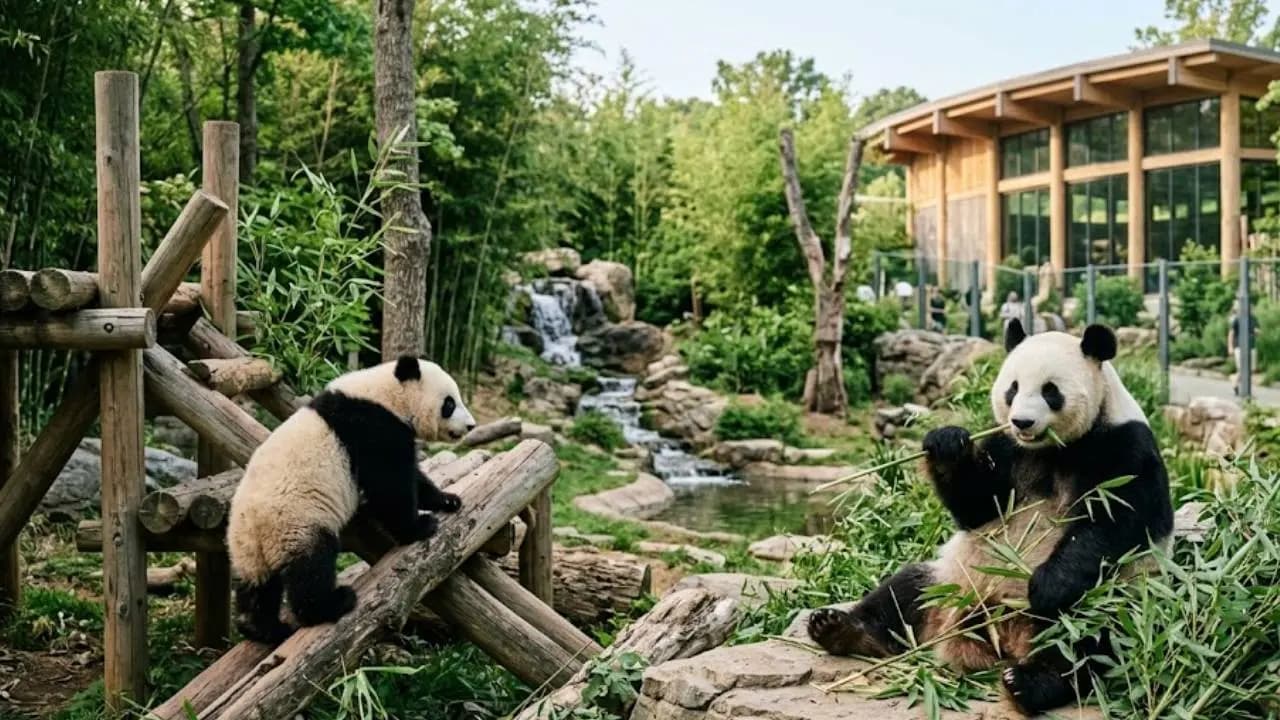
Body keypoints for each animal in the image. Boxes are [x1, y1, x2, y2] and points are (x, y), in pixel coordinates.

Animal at [227, 356, 477, 643]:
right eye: (450, 403)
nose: (471, 426)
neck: (387, 394)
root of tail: (252, 526)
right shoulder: (373, 429)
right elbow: (391, 486)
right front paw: (419, 527)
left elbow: (411, 478)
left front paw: (446, 500)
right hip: (296, 522)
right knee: (312, 566)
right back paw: (331, 605)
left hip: (248, 550)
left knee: (259, 587)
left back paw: (261, 628)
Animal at [808, 320, 1173, 715]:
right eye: (1012, 388)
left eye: (1050, 391)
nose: (1022, 421)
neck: (1051, 449)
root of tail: (999, 635)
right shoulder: (1006, 447)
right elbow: (978, 505)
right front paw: (947, 445)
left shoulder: (1124, 446)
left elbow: (1115, 521)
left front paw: (1047, 585)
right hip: (952, 581)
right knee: (903, 592)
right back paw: (839, 629)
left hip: (1116, 604)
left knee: (1086, 644)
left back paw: (1028, 683)